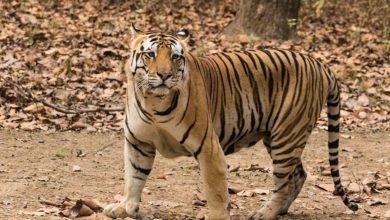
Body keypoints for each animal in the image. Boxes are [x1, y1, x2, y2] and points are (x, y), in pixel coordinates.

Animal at [102, 24, 358, 220]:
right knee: (298, 175)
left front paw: (215, 216)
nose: (165, 75)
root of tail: (320, 64)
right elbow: (134, 178)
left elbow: (215, 189)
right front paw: (125, 208)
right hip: (278, 137)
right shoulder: (138, 143)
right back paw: (280, 211)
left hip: (287, 136)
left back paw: (264, 213)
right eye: (150, 54)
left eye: (175, 57)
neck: (153, 102)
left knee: (284, 180)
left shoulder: (208, 147)